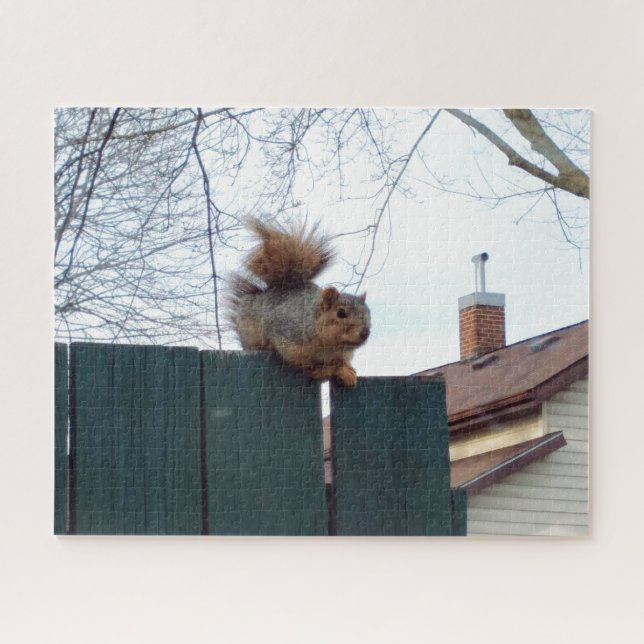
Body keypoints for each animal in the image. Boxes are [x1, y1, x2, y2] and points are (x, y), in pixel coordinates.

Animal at [229, 217, 371, 387]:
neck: (331, 346)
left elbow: (341, 362)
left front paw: (346, 371)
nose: (365, 333)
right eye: (341, 313)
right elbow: (304, 363)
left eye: (368, 313)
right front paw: (324, 370)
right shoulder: (288, 339)